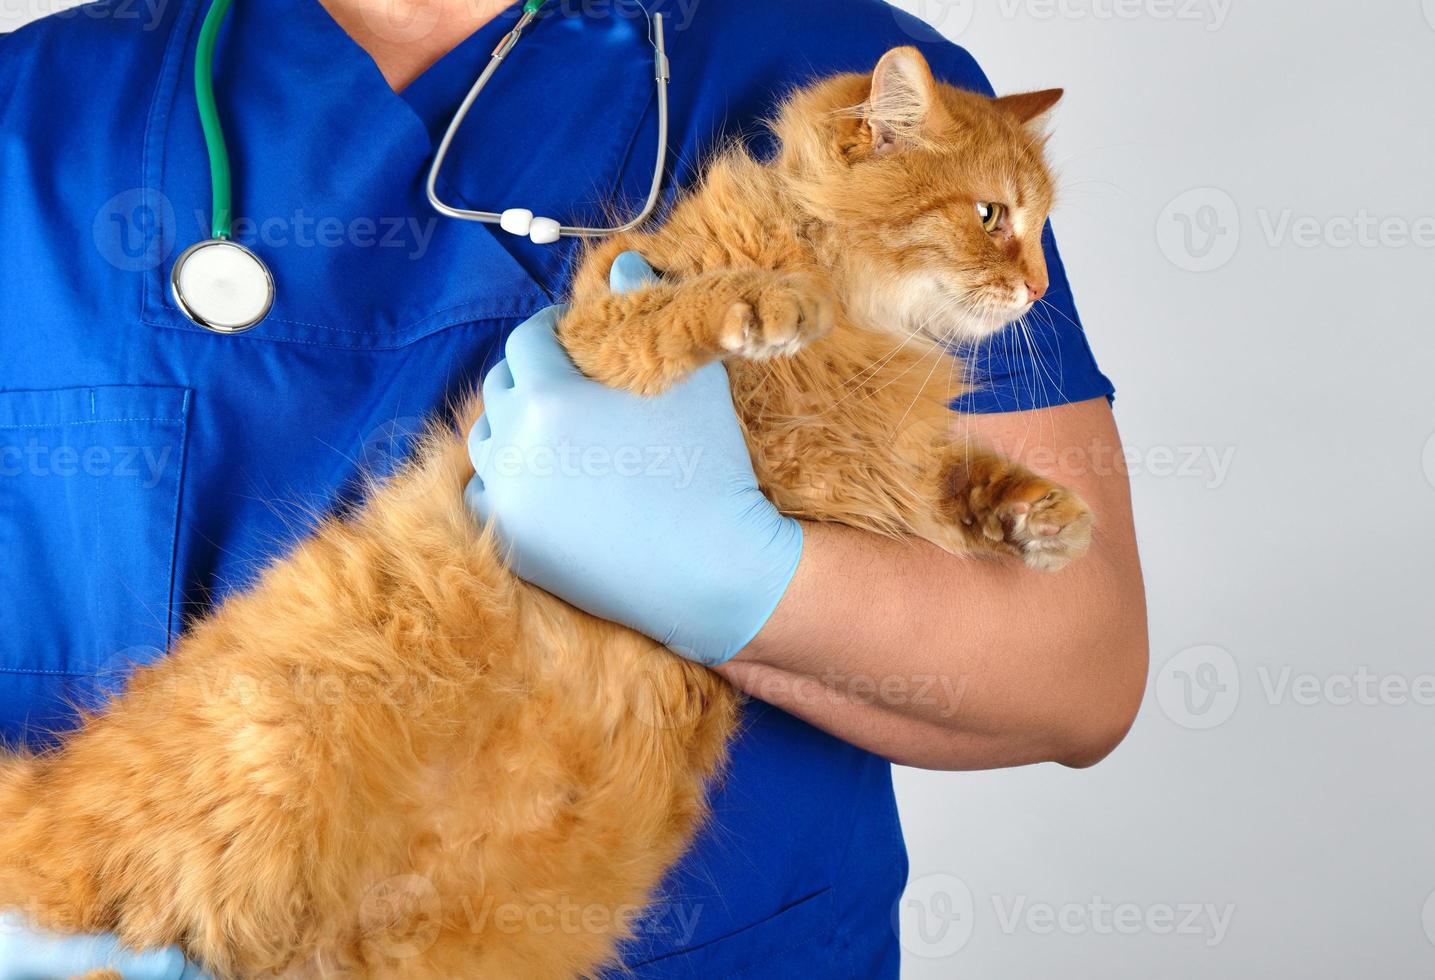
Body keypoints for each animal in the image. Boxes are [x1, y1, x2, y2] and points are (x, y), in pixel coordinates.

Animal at [0, 45, 1084, 980]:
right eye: (991, 214)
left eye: (1040, 226)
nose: (1038, 287)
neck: (858, 322)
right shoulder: (600, 330)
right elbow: (678, 310)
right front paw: (763, 303)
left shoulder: (872, 475)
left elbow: (953, 474)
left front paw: (1042, 514)